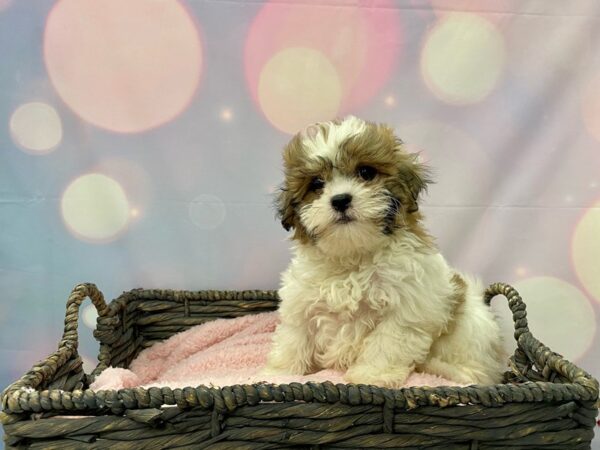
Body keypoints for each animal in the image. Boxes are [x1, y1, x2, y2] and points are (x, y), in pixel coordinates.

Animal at [264, 116, 504, 386]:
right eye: (317, 184)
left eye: (366, 172)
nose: (340, 200)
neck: (353, 255)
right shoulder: (300, 302)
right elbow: (294, 337)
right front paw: (280, 372)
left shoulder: (406, 310)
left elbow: (386, 344)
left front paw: (372, 375)